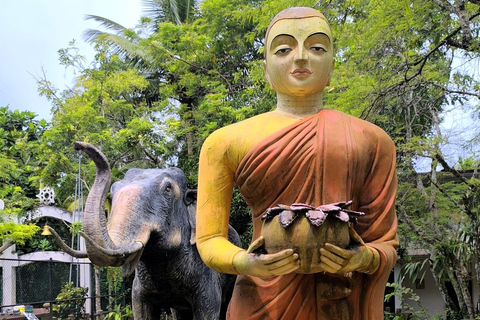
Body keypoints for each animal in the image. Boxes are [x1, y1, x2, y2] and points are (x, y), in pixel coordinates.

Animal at [57, 143, 240, 320]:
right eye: (113, 189)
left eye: (167, 189)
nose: (78, 146)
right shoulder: (139, 289)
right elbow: (141, 309)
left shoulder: (206, 277)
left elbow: (208, 310)